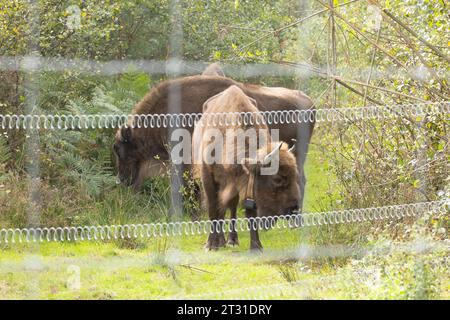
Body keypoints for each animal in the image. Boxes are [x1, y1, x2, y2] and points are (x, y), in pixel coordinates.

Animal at [192, 84, 300, 250]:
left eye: (295, 175)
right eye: (277, 179)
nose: (294, 208)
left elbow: (249, 214)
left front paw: (256, 246)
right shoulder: (207, 177)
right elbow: (212, 209)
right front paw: (210, 245)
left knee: (230, 208)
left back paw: (230, 240)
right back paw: (220, 241)